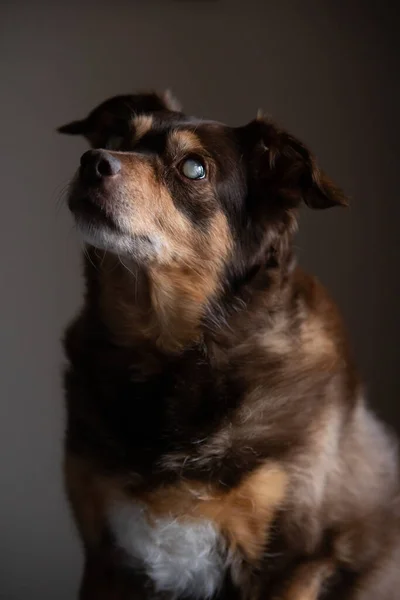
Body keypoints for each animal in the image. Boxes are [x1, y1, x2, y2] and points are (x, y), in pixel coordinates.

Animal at [59, 91, 400, 596]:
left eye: (194, 168)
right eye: (119, 136)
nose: (91, 161)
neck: (168, 358)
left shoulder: (296, 562)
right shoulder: (104, 557)